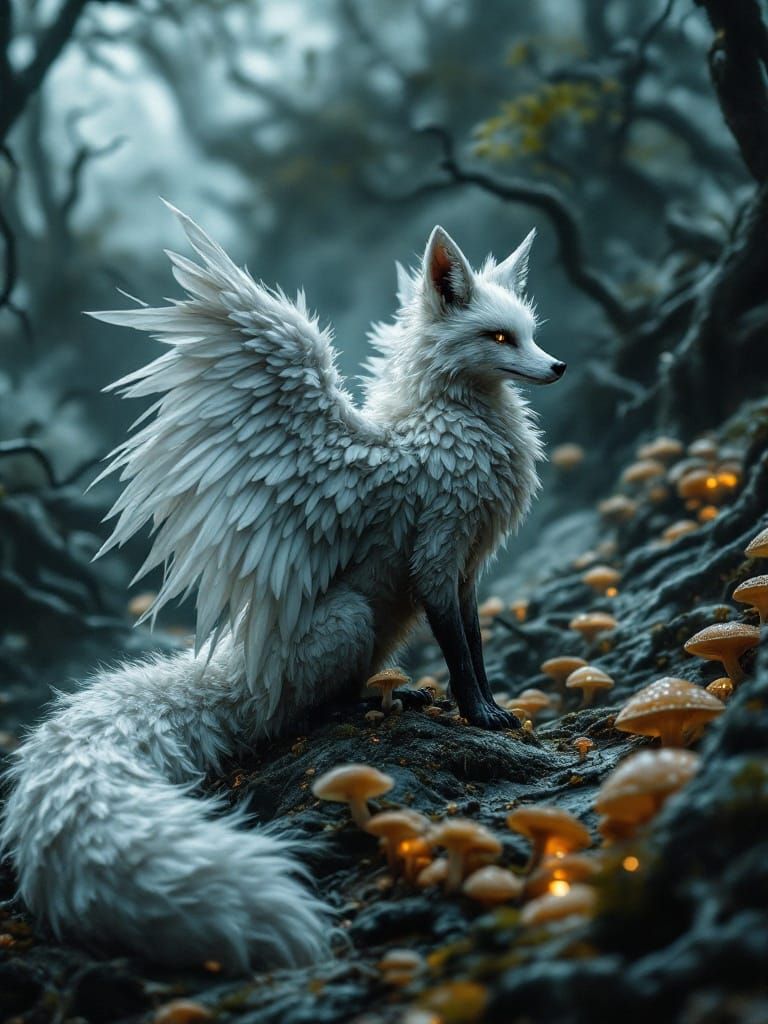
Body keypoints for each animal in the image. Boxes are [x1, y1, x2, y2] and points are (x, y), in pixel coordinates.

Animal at [1, 205, 565, 973]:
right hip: (353, 616)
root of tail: (246, 670)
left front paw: (488, 707)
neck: (448, 425)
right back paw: (373, 701)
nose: (557, 366)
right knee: (298, 712)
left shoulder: (469, 567)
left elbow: (473, 642)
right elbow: (457, 650)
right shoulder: (438, 555)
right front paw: (479, 715)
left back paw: (395, 693)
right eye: (499, 337)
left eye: (529, 331)